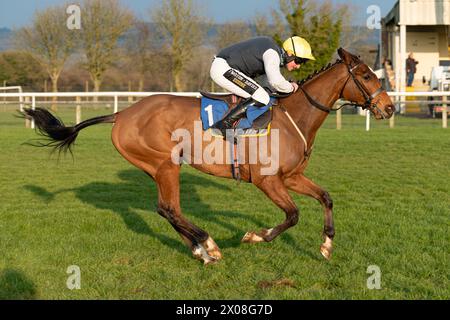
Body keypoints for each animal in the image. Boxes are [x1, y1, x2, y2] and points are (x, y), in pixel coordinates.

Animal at [22, 48, 394, 264]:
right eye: (365, 75)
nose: (389, 108)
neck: (295, 117)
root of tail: (122, 114)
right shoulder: (268, 181)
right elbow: (292, 216)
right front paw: (254, 236)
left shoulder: (292, 177)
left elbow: (326, 197)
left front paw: (327, 245)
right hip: (165, 164)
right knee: (169, 208)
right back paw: (209, 245)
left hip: (159, 167)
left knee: (168, 210)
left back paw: (200, 249)